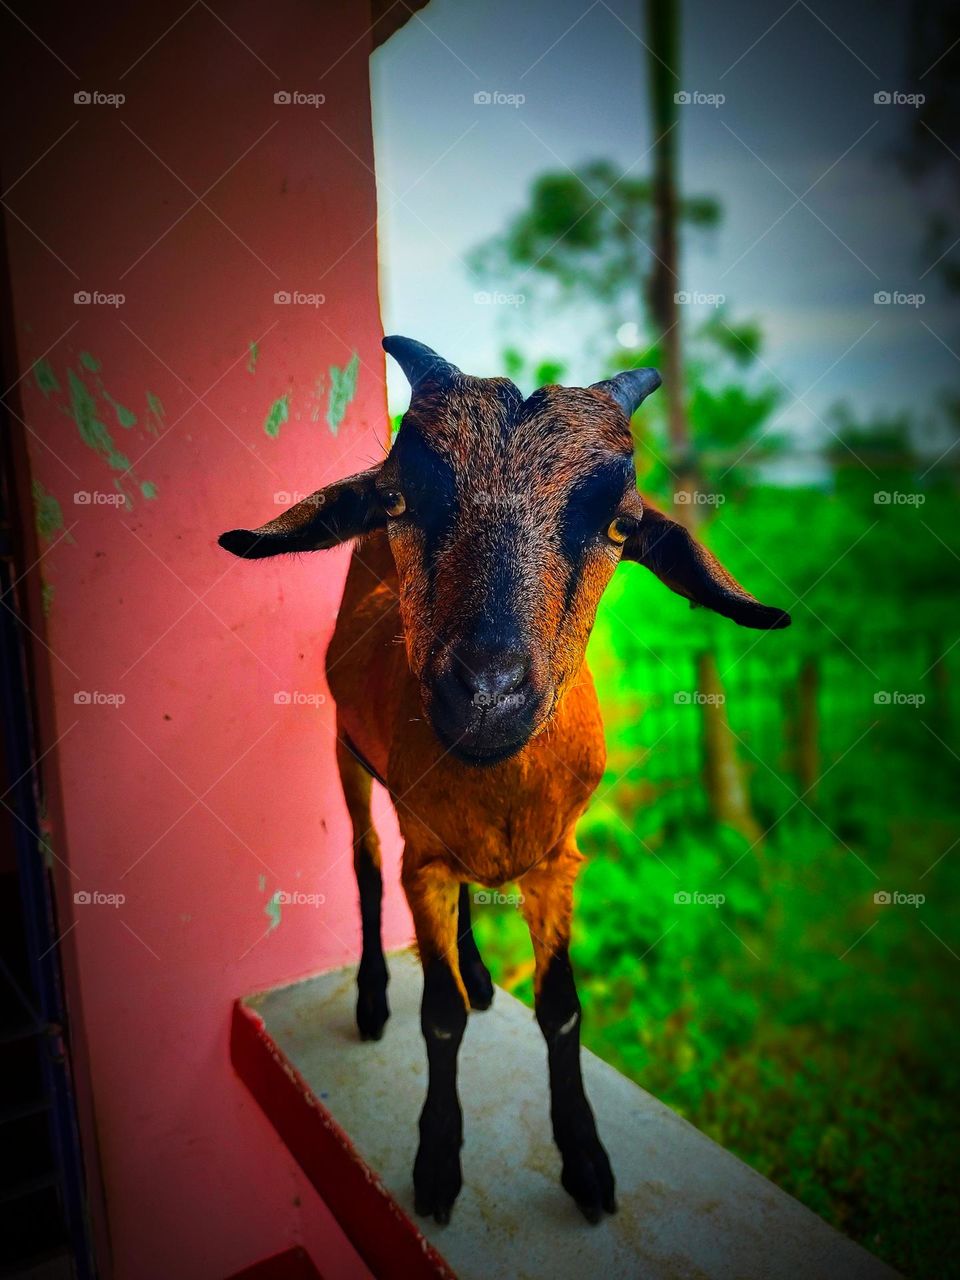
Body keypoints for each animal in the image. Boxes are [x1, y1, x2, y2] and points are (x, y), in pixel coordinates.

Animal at [219, 336, 791, 1226]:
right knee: (366, 863)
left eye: (621, 525)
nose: (487, 691)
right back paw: (374, 999)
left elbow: (562, 1010)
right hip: (346, 753)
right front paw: (436, 1165)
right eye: (397, 499)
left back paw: (481, 974)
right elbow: (440, 1016)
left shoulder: (556, 861)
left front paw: (586, 1164)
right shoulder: (422, 852)